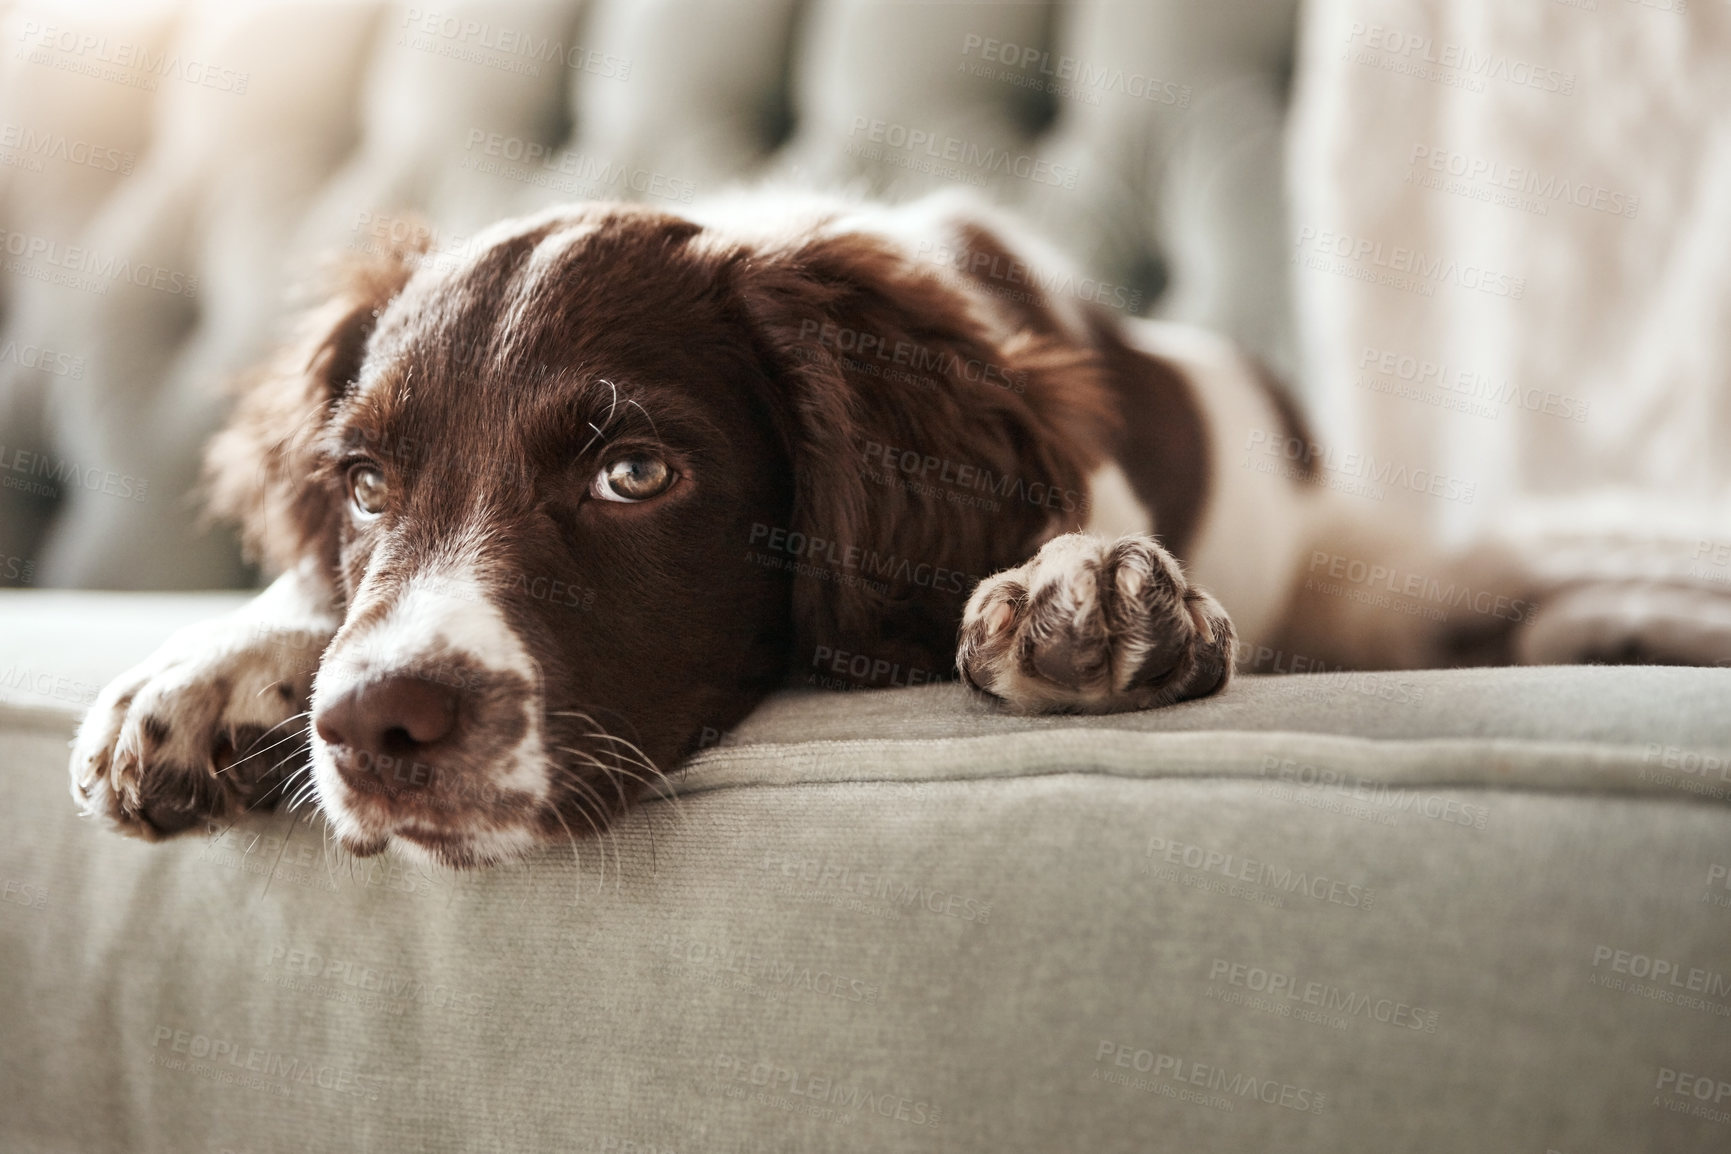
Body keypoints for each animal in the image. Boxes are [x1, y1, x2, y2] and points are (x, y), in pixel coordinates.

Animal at [67, 192, 1717, 865]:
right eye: (362, 483)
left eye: (635, 474)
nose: (379, 729)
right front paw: (207, 672)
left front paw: (1089, 582)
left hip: (1375, 579)